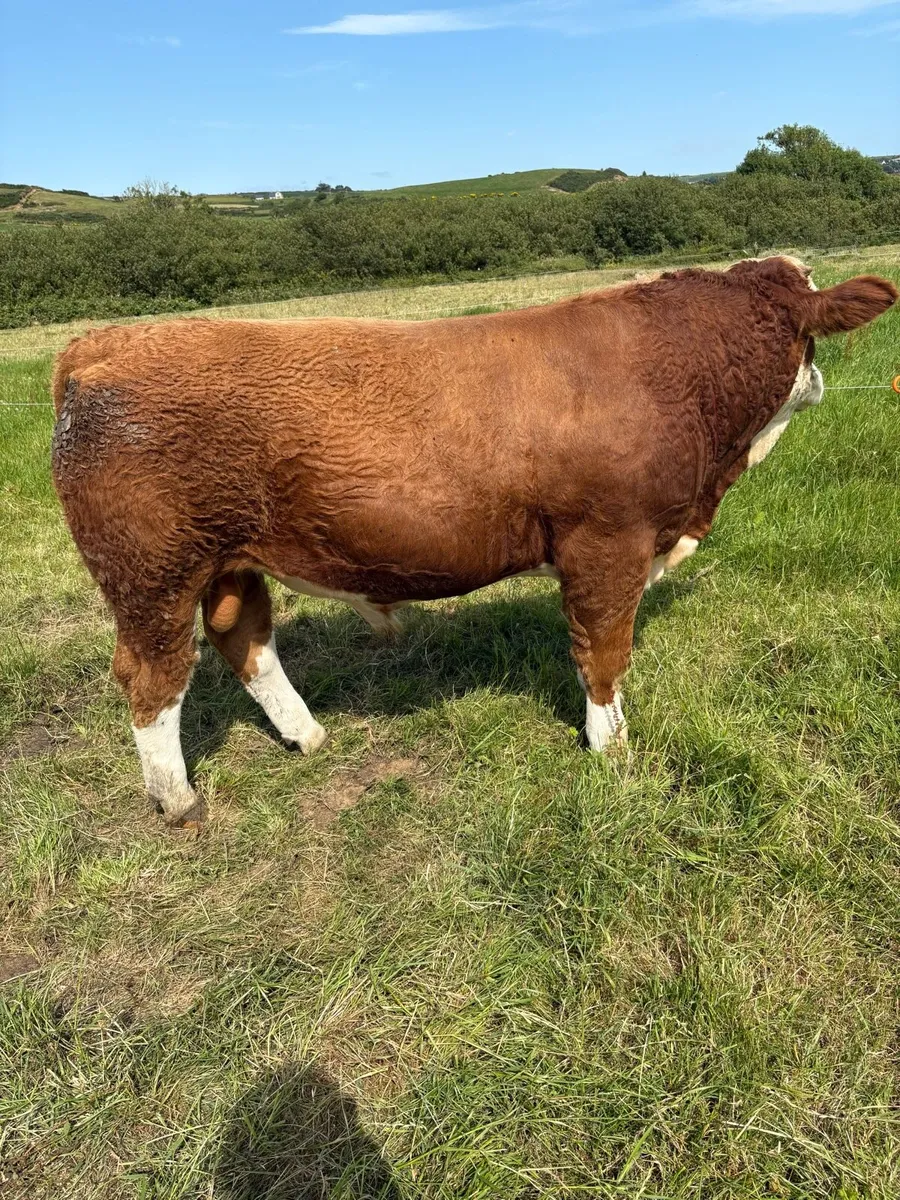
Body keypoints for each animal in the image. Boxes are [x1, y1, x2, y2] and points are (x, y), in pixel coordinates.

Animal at [51, 256, 896, 824]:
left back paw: (308, 737)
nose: (821, 384)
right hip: (151, 573)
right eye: (810, 338)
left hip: (231, 561)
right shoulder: (608, 541)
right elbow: (604, 651)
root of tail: (104, 345)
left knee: (245, 640)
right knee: (153, 679)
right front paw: (611, 748)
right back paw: (177, 799)